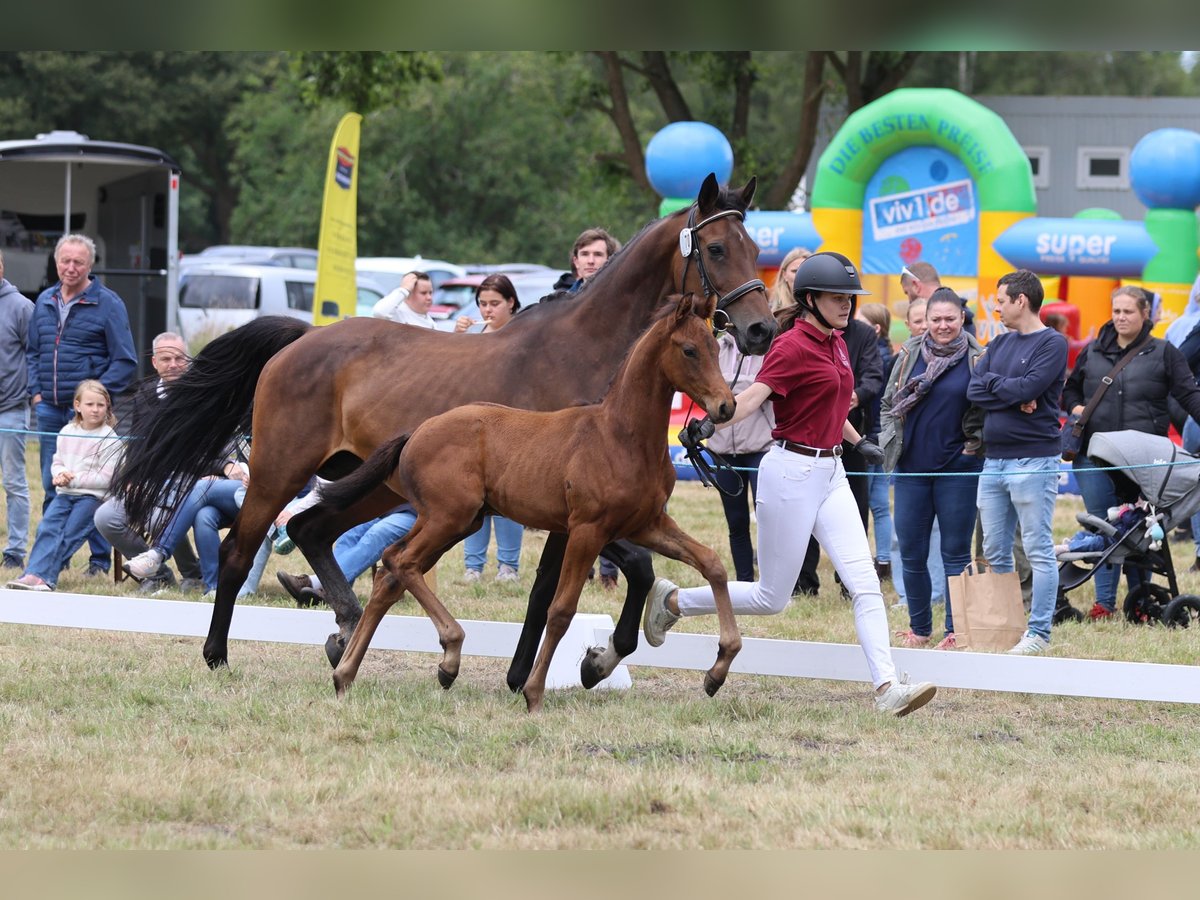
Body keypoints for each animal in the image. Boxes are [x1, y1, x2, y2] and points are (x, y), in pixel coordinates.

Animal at [328, 294, 739, 710]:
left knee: (389, 573)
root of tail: (415, 431)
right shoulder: (587, 530)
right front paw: (534, 691)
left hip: (457, 521)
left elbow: (713, 564)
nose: (725, 407)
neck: (620, 437)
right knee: (402, 562)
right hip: (449, 518)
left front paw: (719, 669)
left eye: (716, 346)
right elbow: (561, 610)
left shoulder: (647, 524)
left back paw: (347, 675)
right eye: (689, 350)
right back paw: (449, 654)